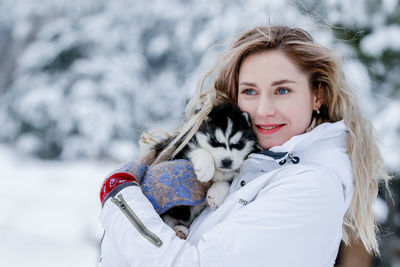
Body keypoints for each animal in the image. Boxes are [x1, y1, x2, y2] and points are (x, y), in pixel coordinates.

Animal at [144, 102, 256, 239]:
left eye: (238, 144)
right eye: (214, 141)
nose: (227, 161)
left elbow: (226, 181)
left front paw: (216, 194)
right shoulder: (179, 149)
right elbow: (198, 150)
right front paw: (205, 169)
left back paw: (181, 230)